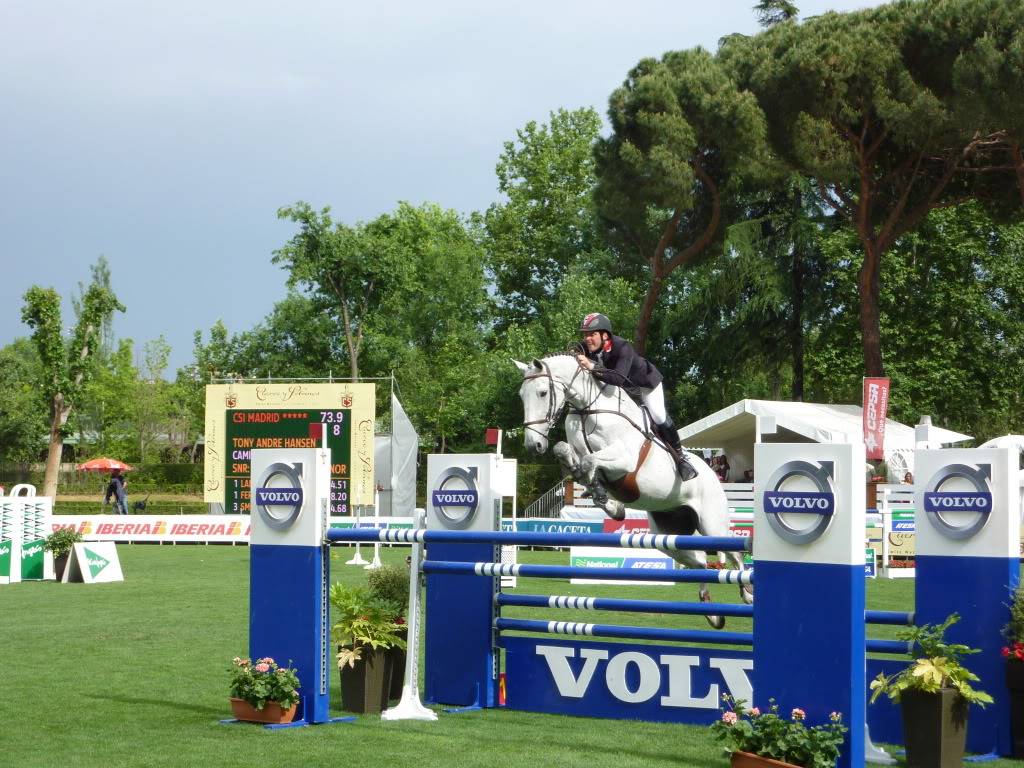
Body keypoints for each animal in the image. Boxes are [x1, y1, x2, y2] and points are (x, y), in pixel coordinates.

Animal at [516, 354, 749, 626]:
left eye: (542, 393)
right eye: (522, 395)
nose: (533, 445)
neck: (587, 409)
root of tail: (714, 476)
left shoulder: (624, 460)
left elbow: (589, 462)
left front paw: (604, 498)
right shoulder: (580, 451)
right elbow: (566, 452)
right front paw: (606, 500)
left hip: (712, 525)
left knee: (735, 553)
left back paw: (747, 593)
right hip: (669, 538)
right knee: (700, 563)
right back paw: (711, 613)